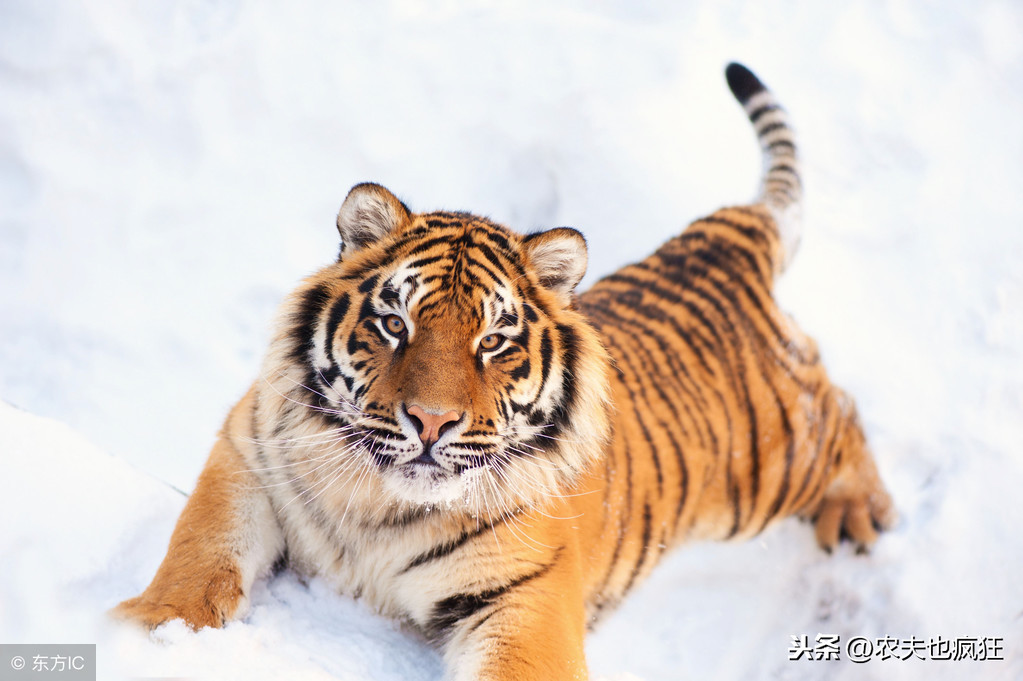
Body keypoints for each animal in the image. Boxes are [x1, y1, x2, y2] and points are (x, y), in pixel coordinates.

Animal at [114, 62, 896, 674]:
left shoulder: (523, 597)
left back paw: (859, 518)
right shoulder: (244, 458)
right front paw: (154, 632)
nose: (429, 423)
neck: (374, 507)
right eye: (394, 324)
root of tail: (721, 240)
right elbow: (197, 555)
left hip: (768, 468)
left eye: (492, 342)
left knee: (842, 412)